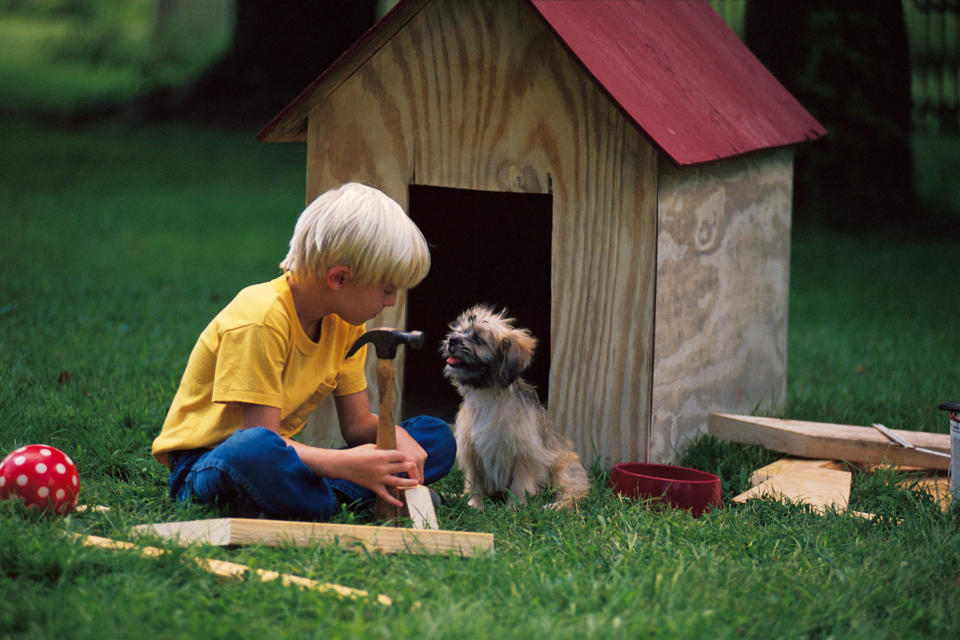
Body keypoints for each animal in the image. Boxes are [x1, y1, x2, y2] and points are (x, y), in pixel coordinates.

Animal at [444, 304, 592, 510]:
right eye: (459, 330)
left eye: (478, 339)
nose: (452, 339)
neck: (488, 394)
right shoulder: (472, 452)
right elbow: (474, 482)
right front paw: (474, 504)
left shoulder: (525, 454)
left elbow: (520, 485)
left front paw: (513, 508)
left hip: (564, 470)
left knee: (572, 494)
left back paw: (555, 506)